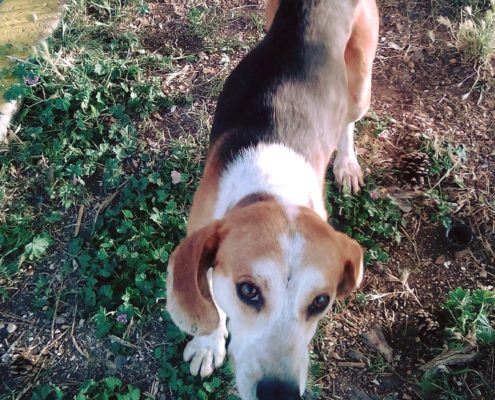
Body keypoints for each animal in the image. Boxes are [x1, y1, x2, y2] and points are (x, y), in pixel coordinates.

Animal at [167, 1, 380, 398]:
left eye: (321, 301)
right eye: (248, 291)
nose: (278, 392)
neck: (271, 189)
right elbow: (212, 299)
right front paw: (208, 343)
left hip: (361, 82)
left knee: (348, 121)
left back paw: (346, 164)